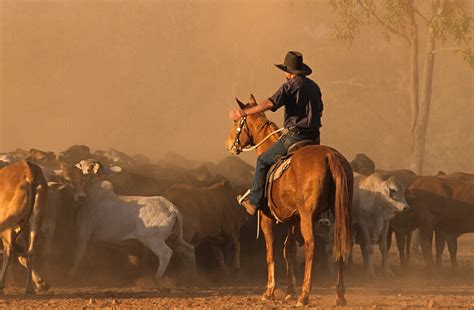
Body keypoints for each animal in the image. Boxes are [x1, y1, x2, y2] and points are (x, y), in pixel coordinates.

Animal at [0, 161, 48, 294]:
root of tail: (29, 175)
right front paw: (41, 284)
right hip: (36, 219)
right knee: (30, 253)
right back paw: (30, 288)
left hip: (8, 225)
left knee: (9, 251)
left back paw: (1, 284)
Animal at [225, 94, 352, 306]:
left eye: (236, 122)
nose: (228, 145)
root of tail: (331, 156)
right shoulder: (293, 219)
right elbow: (288, 250)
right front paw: (289, 291)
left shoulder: (267, 219)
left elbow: (271, 254)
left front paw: (269, 291)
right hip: (339, 211)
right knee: (339, 244)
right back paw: (339, 295)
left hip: (309, 216)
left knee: (311, 246)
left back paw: (305, 295)